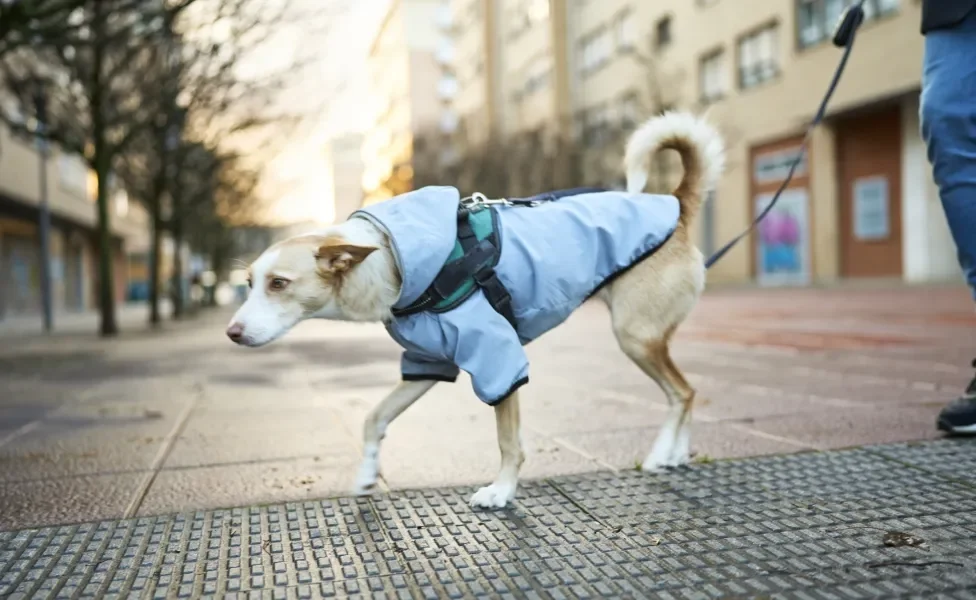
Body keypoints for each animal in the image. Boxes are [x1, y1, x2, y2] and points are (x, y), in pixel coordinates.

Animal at [225, 110, 720, 508]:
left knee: (681, 392)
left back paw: (660, 454)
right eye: (249, 284)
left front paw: (501, 492)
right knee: (688, 392)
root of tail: (676, 204)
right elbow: (373, 418)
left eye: (279, 284)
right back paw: (676, 454)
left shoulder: (498, 359)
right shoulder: (426, 363)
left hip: (634, 336)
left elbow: (508, 442)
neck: (389, 255)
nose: (232, 332)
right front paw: (367, 474)